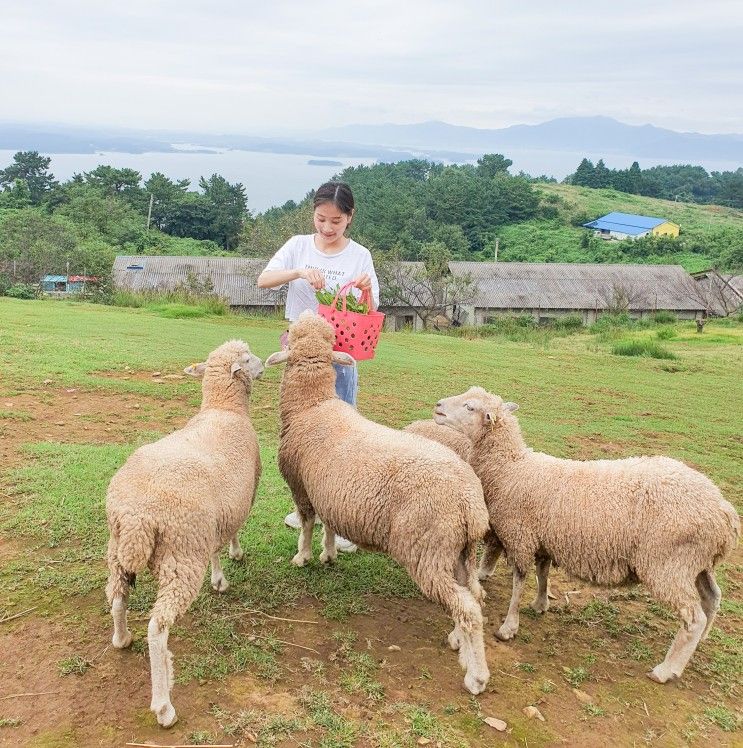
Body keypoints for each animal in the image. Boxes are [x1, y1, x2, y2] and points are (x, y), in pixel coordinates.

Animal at [103, 338, 266, 724]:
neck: (223, 409)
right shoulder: (240, 499)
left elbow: (216, 545)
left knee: (117, 598)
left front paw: (220, 576)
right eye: (247, 358)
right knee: (158, 628)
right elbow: (228, 538)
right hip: (182, 556)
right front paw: (231, 562)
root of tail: (136, 516)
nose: (265, 364)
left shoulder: (214, 519)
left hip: (118, 551)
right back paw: (164, 706)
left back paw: (122, 639)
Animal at [268, 312, 494, 696]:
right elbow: (329, 525)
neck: (312, 405)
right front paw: (329, 554)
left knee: (465, 606)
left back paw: (476, 676)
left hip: (427, 549)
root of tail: (471, 505)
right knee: (472, 596)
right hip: (457, 550)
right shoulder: (331, 491)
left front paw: (303, 557)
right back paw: (458, 640)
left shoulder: (300, 486)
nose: (310, 313)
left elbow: (308, 523)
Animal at [434, 388, 740, 688]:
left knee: (694, 617)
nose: (437, 406)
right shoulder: (544, 540)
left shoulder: (520, 537)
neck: (510, 468)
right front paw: (541, 604)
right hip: (696, 563)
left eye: (470, 407)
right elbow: (543, 573)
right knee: (713, 598)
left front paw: (509, 627)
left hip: (669, 564)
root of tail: (724, 512)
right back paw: (700, 643)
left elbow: (519, 583)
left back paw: (667, 669)